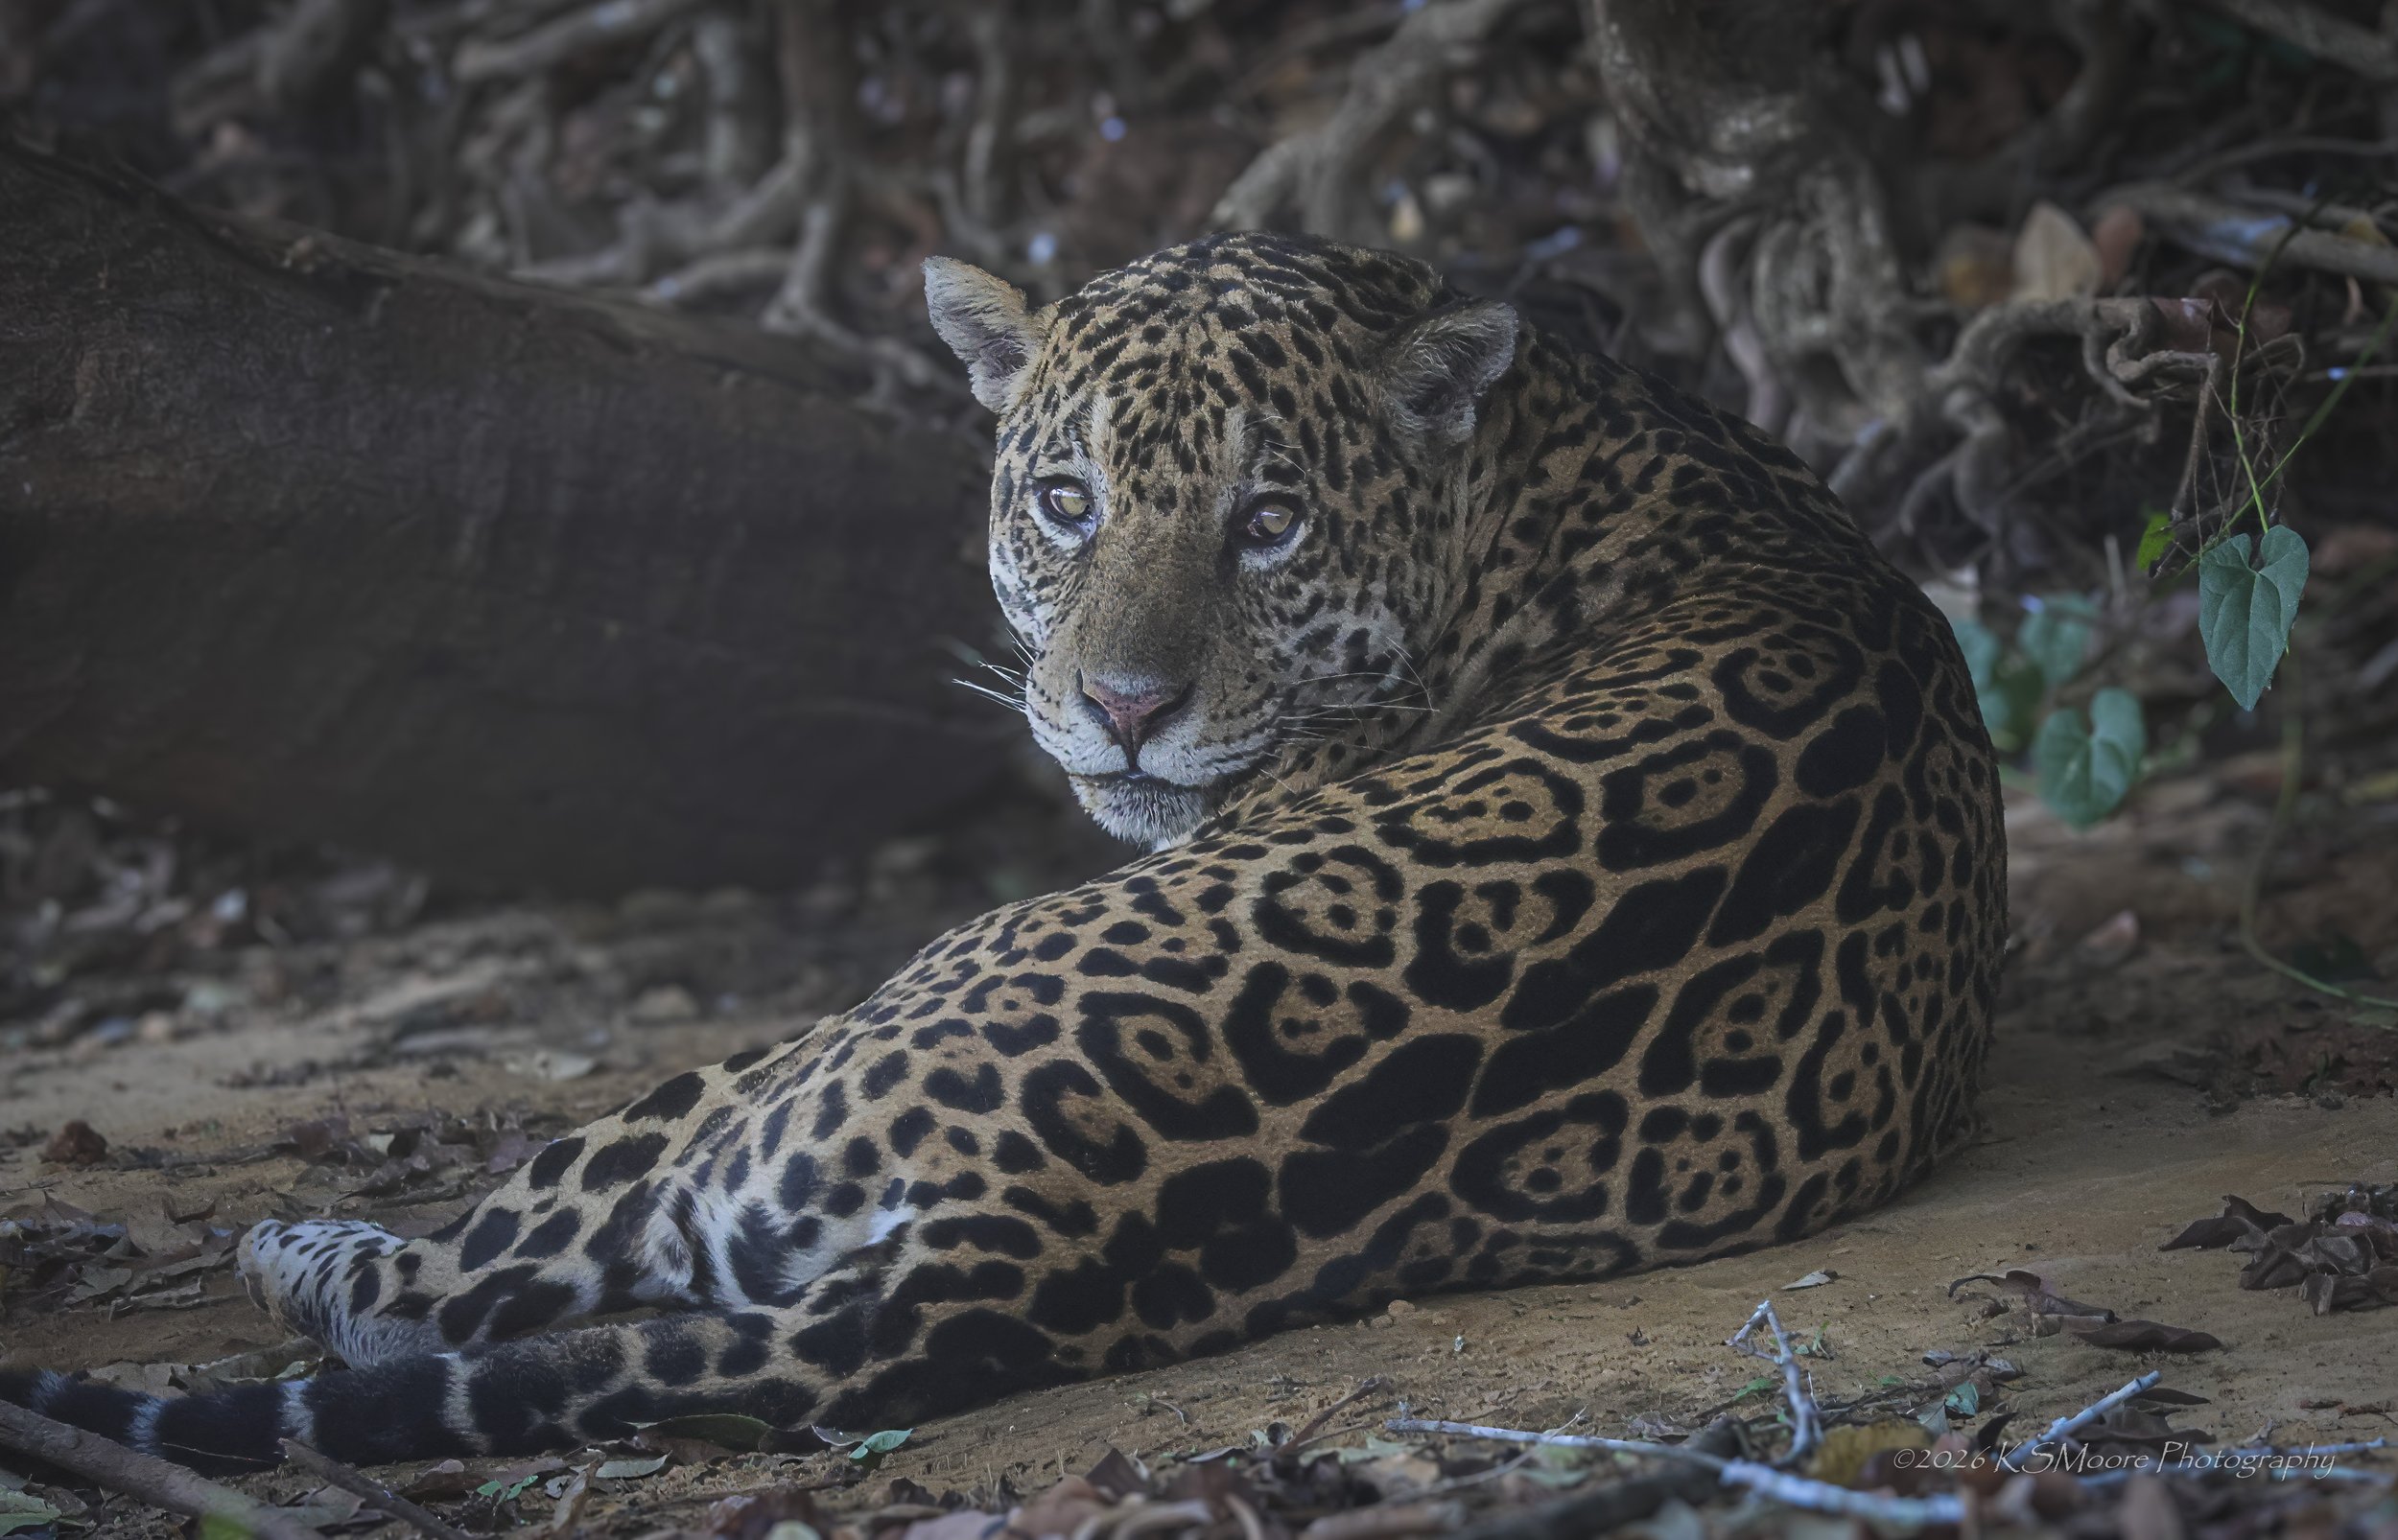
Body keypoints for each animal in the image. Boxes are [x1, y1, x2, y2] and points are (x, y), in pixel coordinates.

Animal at [2, 232, 2004, 1473]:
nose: (1120, 708)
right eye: (1067, 501)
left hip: (764, 1066)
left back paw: (301, 1244)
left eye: (1270, 525)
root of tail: (1033, 1230)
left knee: (463, 1287)